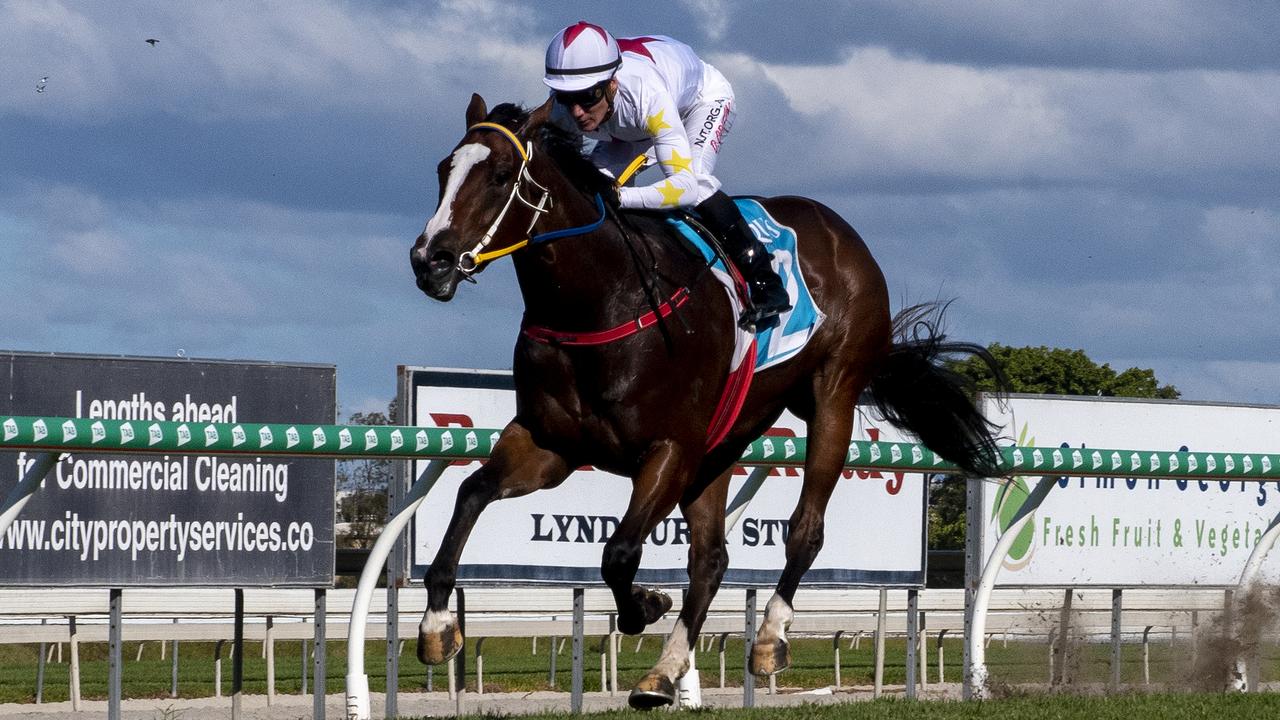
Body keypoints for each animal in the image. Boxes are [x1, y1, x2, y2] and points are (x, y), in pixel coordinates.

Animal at [414, 92, 1003, 702]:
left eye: (501, 175)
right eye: (443, 170)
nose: (430, 259)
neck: (597, 303)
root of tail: (841, 232)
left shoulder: (670, 450)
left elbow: (619, 553)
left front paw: (646, 602)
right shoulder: (551, 444)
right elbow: (471, 492)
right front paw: (437, 626)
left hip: (832, 398)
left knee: (803, 530)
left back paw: (768, 638)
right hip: (725, 439)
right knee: (711, 559)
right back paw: (664, 671)